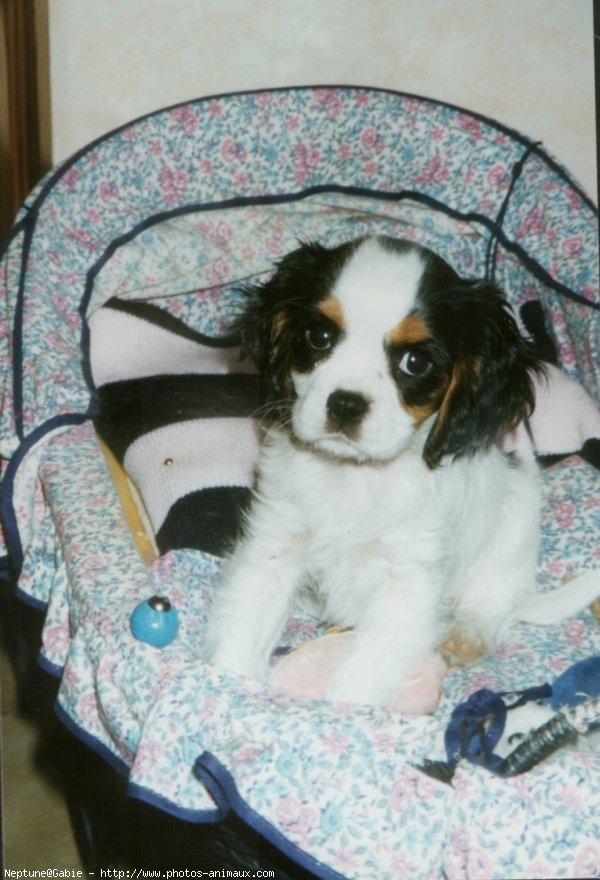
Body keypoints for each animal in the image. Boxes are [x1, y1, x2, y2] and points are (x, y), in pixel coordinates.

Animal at [204, 234, 568, 708]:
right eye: (319, 336)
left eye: (415, 362)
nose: (345, 404)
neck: (355, 476)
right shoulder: (275, 543)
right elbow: (243, 627)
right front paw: (228, 690)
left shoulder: (406, 586)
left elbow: (359, 681)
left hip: (518, 509)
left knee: (495, 595)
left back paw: (466, 633)